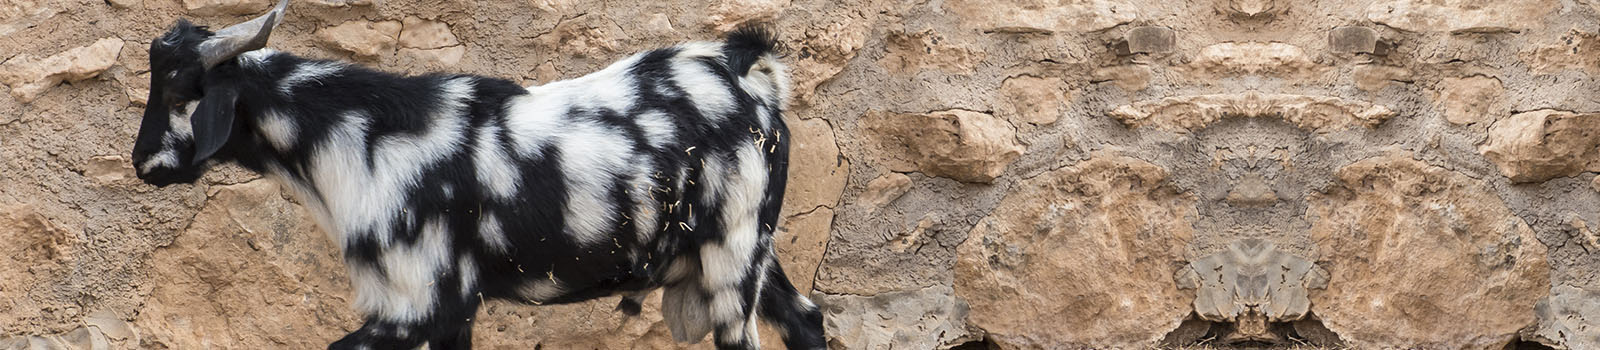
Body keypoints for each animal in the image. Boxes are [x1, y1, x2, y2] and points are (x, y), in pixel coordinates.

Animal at [126, 1, 825, 348]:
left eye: (181, 90)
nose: (142, 164)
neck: (358, 136)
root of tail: (749, 72)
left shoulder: (416, 305)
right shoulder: (455, 311)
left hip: (733, 265)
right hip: (751, 251)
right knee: (807, 320)